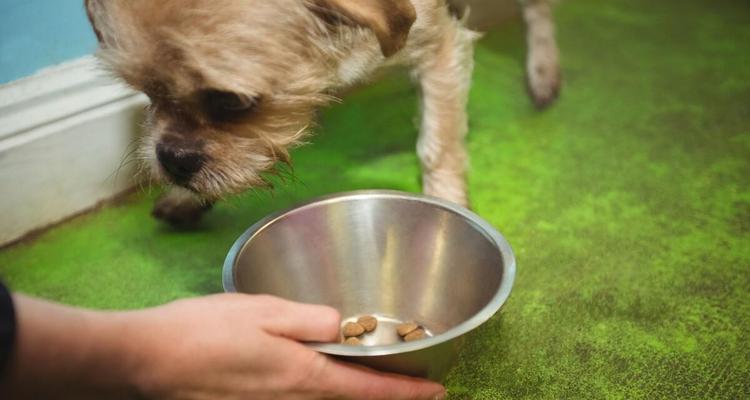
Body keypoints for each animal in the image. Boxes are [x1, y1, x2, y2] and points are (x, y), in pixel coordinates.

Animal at [85, 0, 560, 225]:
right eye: (145, 91)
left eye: (233, 102)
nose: (173, 160)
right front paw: (186, 195)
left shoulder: (440, 50)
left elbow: (437, 147)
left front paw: (447, 206)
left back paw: (543, 68)